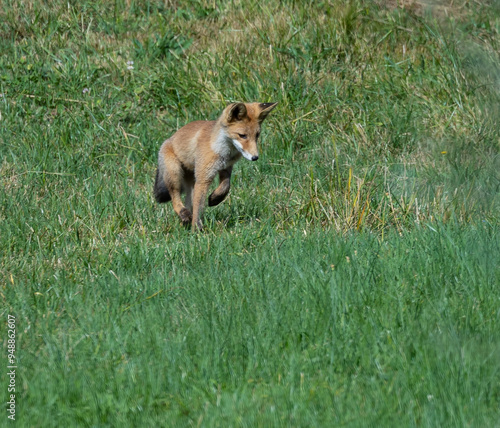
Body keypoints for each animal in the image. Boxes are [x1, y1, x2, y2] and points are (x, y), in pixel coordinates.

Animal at [153, 102, 278, 231]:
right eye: (242, 135)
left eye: (257, 135)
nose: (255, 157)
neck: (221, 152)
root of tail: (168, 139)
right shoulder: (203, 179)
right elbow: (199, 209)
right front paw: (196, 230)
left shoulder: (225, 168)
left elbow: (225, 187)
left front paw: (215, 198)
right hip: (175, 174)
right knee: (175, 198)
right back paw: (184, 214)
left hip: (191, 184)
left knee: (188, 203)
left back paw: (185, 222)